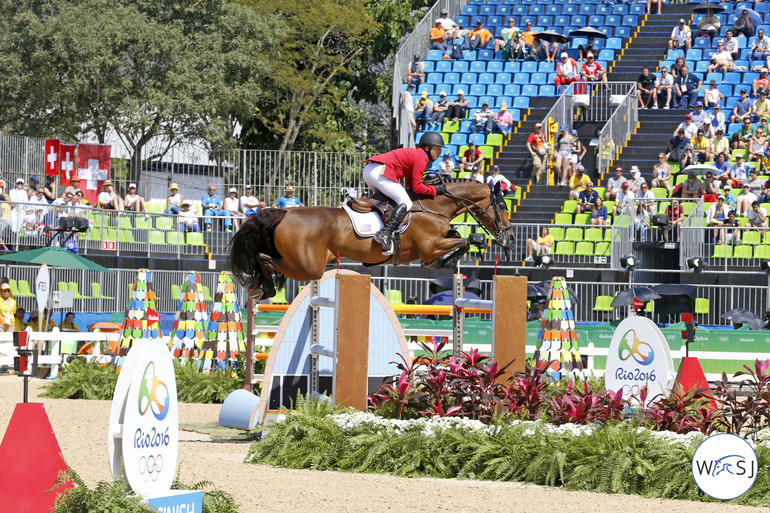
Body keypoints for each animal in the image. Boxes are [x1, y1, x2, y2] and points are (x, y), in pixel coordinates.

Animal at [226, 179, 510, 300]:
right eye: (503, 206)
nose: (510, 237)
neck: (433, 206)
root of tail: (283, 212)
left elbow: (459, 237)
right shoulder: (429, 247)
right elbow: (461, 243)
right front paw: (443, 262)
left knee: (265, 257)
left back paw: (264, 287)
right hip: (308, 267)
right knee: (265, 258)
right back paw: (266, 287)